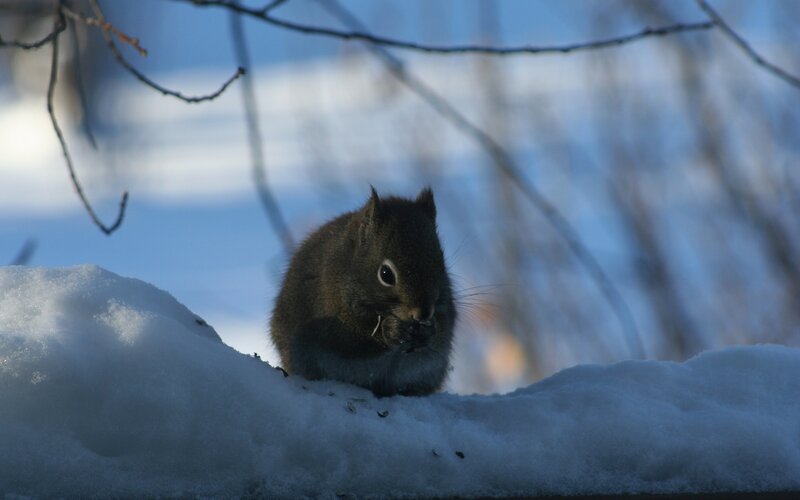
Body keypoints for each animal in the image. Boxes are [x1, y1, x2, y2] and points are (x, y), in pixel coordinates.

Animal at [269, 187, 456, 397]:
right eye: (386, 274)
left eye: (441, 265)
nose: (423, 313)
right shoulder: (328, 310)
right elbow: (352, 341)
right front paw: (392, 331)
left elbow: (443, 328)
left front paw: (428, 331)